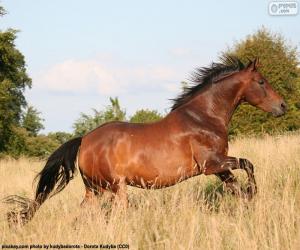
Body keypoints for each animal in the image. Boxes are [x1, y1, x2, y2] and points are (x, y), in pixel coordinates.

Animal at [4, 56, 286, 225]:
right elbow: (248, 164)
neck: (204, 117)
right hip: (115, 188)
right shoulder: (212, 164)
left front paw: (248, 201)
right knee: (115, 213)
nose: (282, 106)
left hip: (95, 190)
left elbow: (237, 187)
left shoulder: (219, 169)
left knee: (83, 214)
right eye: (261, 81)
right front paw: (253, 192)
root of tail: (84, 140)